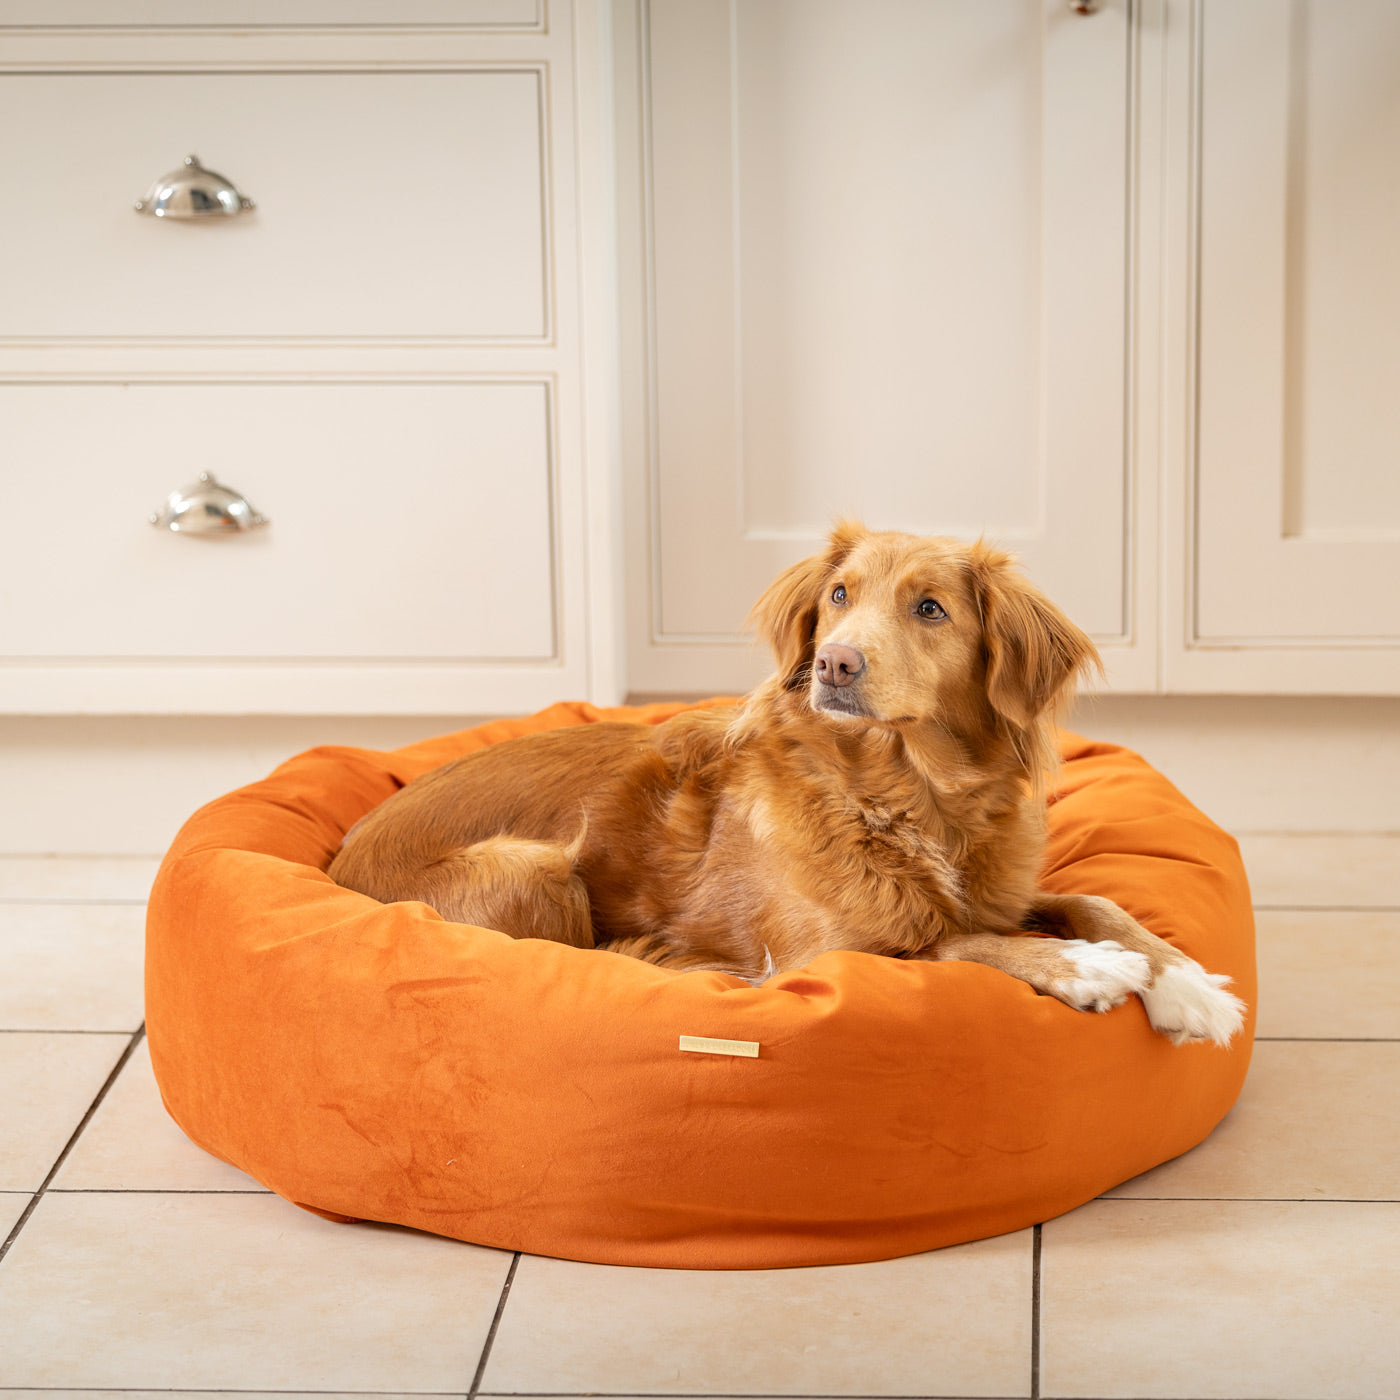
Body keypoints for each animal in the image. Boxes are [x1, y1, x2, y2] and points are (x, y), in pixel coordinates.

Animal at [330, 520, 1248, 1047]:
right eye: (839, 594)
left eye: (930, 608)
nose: (836, 663)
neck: (909, 796)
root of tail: (339, 859)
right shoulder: (825, 953)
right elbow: (945, 943)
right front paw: (1083, 968)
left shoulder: (1003, 890)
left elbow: (1094, 899)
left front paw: (1187, 983)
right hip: (538, 865)